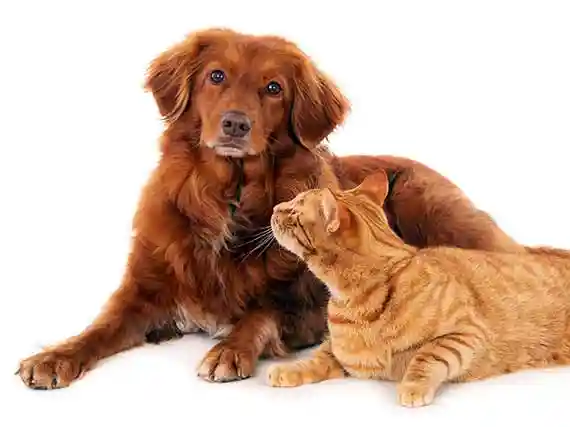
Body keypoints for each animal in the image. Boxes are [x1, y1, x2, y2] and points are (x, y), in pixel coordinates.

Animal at [17, 28, 524, 390]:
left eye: (274, 88)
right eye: (215, 76)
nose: (235, 124)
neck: (228, 199)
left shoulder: (310, 303)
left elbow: (260, 314)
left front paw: (229, 349)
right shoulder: (143, 290)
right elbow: (99, 327)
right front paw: (54, 356)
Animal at [264, 171, 568, 408]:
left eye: (294, 210)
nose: (275, 207)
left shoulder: (465, 332)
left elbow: (427, 356)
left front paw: (413, 387)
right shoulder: (346, 355)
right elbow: (317, 358)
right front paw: (289, 370)